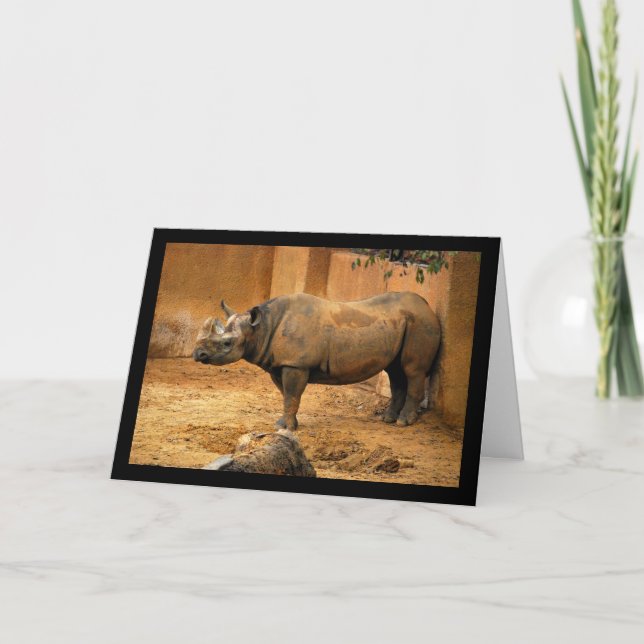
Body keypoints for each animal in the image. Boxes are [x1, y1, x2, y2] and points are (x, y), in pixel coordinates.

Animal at [193, 292, 441, 430]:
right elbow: (287, 396)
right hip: (403, 323)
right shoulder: (279, 364)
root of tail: (428, 306)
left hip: (421, 324)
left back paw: (403, 423)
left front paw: (285, 429)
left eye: (227, 344)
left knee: (412, 371)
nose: (198, 355)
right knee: (395, 371)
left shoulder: (296, 364)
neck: (262, 327)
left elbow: (291, 395)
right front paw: (287, 424)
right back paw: (388, 419)